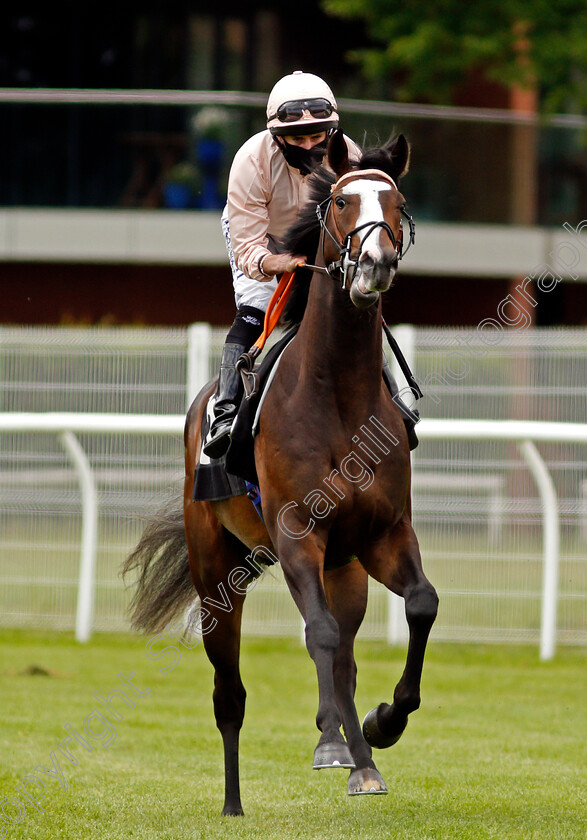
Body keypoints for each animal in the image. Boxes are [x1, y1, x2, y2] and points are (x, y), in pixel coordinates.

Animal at [123, 130, 436, 812]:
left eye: (397, 201)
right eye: (341, 201)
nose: (374, 265)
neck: (338, 395)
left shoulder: (384, 533)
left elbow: (419, 607)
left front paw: (381, 725)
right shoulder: (296, 533)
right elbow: (317, 633)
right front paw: (354, 755)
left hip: (345, 568)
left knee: (344, 652)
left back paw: (345, 748)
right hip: (217, 569)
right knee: (231, 692)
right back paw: (235, 801)